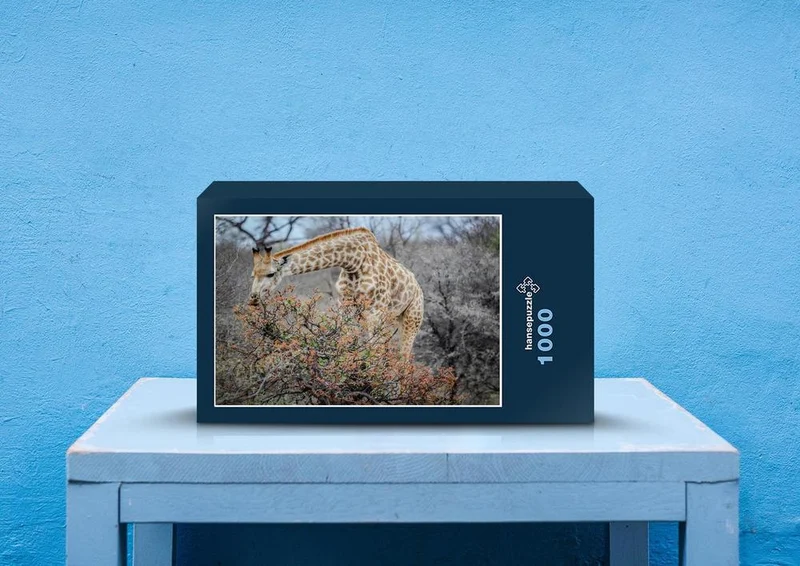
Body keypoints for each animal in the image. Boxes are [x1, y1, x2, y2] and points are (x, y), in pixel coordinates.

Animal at [249, 227, 424, 357]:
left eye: (270, 274)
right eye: (253, 274)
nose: (253, 299)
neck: (354, 262)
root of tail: (418, 287)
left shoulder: (375, 311)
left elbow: (375, 351)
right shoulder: (345, 307)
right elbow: (346, 342)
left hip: (412, 317)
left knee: (404, 357)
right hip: (393, 318)